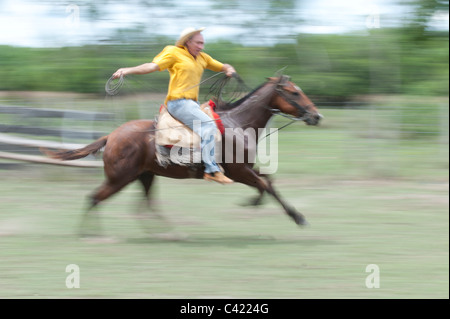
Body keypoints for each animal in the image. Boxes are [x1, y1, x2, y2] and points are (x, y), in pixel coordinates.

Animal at [44, 76, 320, 234]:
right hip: (119, 178)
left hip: (145, 176)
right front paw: (294, 216)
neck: (238, 123)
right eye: (294, 92)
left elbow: (269, 182)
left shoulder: (246, 169)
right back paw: (90, 233)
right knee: (94, 198)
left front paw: (275, 209)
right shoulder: (238, 172)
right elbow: (266, 186)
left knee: (143, 205)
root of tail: (111, 136)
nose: (316, 115)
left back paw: (164, 230)